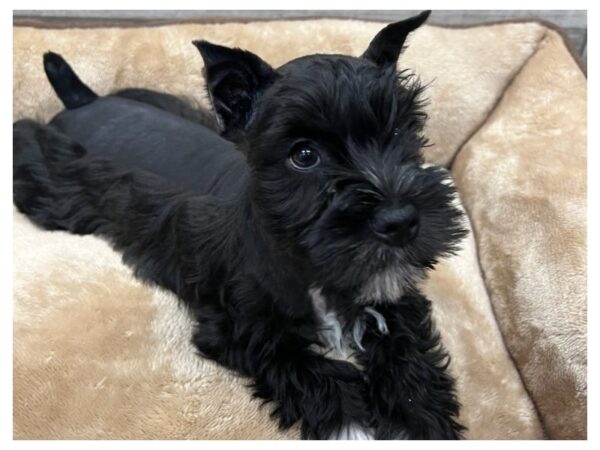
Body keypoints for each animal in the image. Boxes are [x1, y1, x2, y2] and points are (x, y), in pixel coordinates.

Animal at [11, 10, 466, 440]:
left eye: (399, 130)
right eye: (304, 155)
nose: (401, 222)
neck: (305, 265)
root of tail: (82, 100)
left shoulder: (392, 297)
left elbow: (408, 356)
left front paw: (421, 419)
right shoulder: (237, 328)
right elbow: (305, 366)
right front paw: (353, 426)